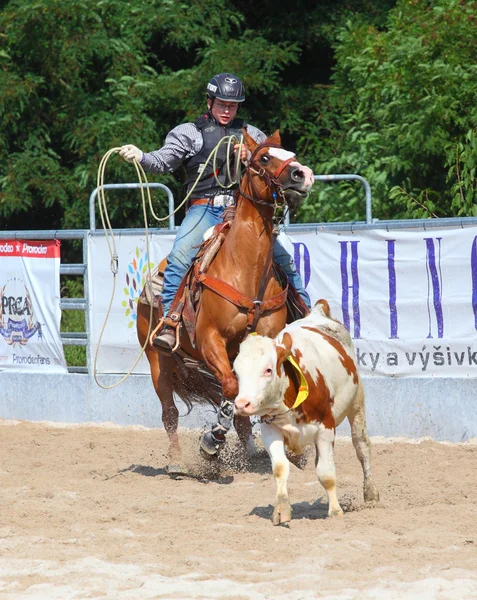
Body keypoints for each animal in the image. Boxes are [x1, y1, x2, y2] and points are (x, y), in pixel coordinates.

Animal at [135, 129, 312, 476]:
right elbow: (229, 389)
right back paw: (176, 462)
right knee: (169, 412)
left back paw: (252, 452)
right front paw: (211, 441)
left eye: (292, 154)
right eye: (264, 158)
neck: (244, 267)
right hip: (157, 361)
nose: (303, 175)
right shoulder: (209, 339)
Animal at [232, 300, 378, 524]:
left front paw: (335, 511)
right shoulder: (270, 431)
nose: (242, 404)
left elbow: (326, 473)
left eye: (268, 370)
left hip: (357, 402)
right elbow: (280, 468)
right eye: (236, 371)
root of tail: (318, 311)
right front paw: (282, 509)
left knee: (361, 446)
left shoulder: (325, 428)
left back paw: (370, 492)